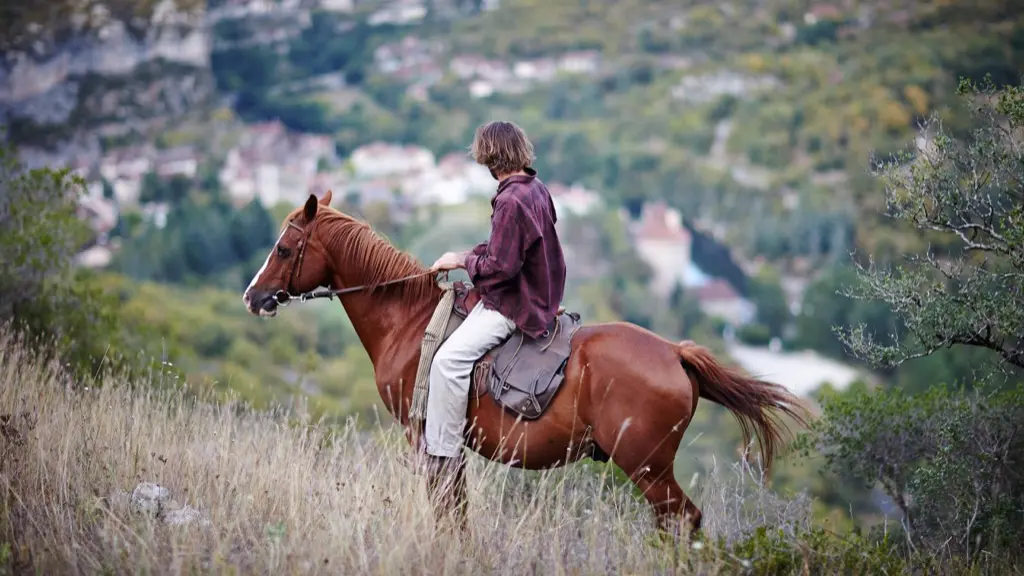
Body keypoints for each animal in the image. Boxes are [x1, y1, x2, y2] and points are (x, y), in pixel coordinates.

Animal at [239, 190, 806, 537]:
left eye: (284, 248)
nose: (253, 296)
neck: (408, 319)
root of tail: (674, 353)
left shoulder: (425, 437)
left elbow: (444, 506)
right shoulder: (448, 447)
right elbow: (457, 508)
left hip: (647, 466)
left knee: (682, 520)